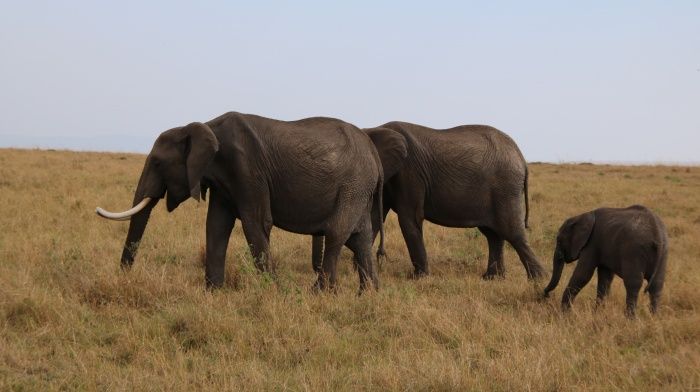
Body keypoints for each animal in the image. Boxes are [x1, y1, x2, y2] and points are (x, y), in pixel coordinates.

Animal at [96, 111, 408, 290]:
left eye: (158, 163)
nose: (124, 278)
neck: (204, 126)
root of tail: (374, 155)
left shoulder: (246, 169)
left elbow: (256, 224)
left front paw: (273, 292)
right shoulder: (224, 181)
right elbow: (216, 226)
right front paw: (214, 293)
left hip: (353, 186)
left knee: (336, 234)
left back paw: (319, 293)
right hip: (359, 189)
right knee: (360, 239)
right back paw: (368, 295)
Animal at [312, 121, 548, 280]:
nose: (315, 270)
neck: (375, 127)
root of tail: (521, 158)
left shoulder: (409, 173)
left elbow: (409, 219)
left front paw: (418, 278)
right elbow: (374, 217)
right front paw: (357, 269)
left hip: (505, 188)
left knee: (512, 232)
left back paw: (538, 279)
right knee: (493, 234)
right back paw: (491, 278)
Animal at [540, 204, 668, 316]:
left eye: (559, 240)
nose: (545, 295)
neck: (582, 216)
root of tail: (657, 233)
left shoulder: (592, 243)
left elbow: (583, 275)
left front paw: (563, 314)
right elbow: (605, 279)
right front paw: (597, 313)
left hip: (634, 251)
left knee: (633, 283)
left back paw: (630, 319)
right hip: (664, 253)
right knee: (657, 285)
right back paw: (654, 317)